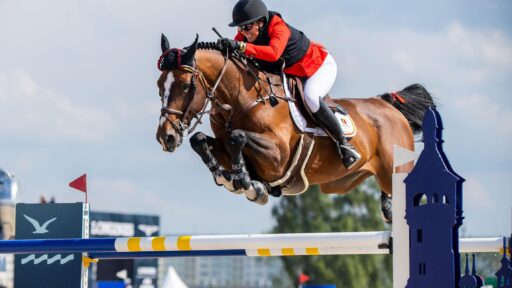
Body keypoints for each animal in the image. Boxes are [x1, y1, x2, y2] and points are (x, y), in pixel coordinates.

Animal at [155, 34, 432, 223]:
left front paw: (245, 181)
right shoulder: (227, 146)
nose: (165, 137)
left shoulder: (278, 157)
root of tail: (391, 108)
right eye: (159, 86)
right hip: (344, 182)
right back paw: (387, 208)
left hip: (394, 169)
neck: (241, 100)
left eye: (185, 86)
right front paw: (229, 177)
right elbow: (201, 140)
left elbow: (237, 137)